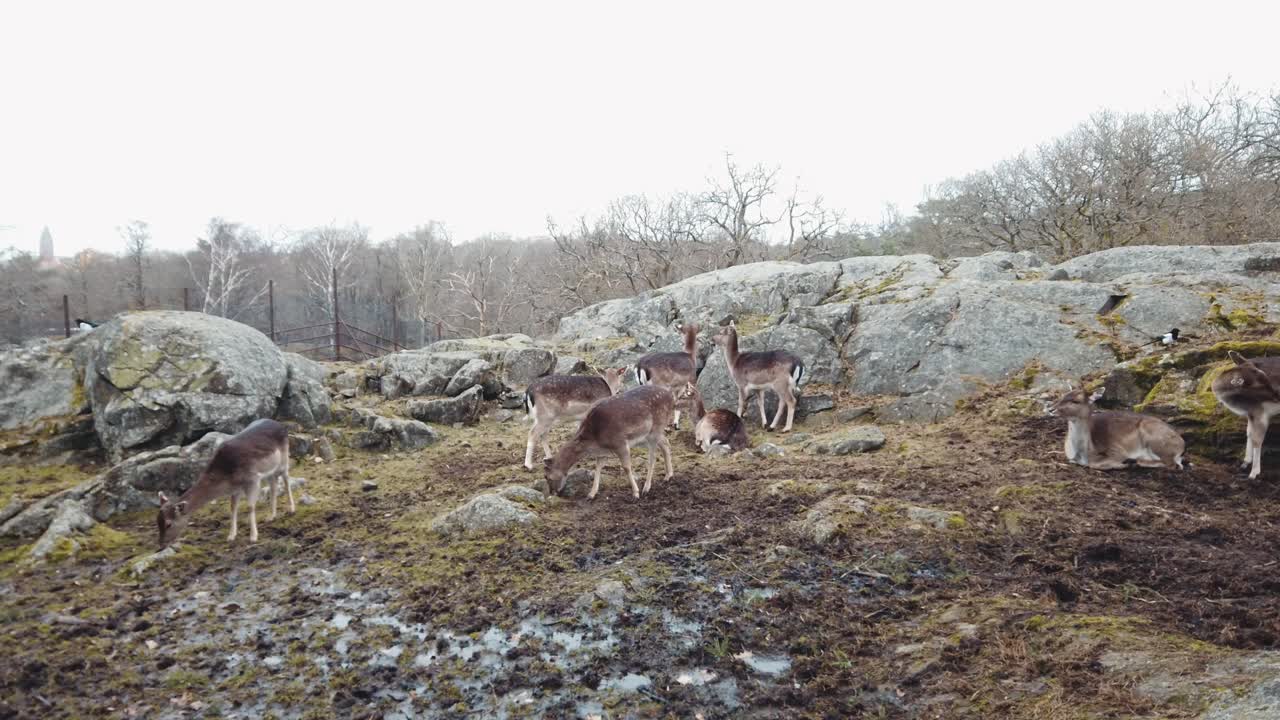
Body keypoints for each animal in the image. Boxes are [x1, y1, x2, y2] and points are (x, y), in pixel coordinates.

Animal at [156, 418, 297, 549]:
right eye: (157, 521)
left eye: (168, 524)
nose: (161, 545)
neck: (227, 476)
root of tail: (279, 424)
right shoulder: (236, 488)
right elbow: (233, 508)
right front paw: (231, 536)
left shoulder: (252, 479)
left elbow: (250, 507)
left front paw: (253, 537)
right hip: (269, 471)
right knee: (273, 485)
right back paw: (271, 516)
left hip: (284, 459)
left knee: (286, 479)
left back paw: (291, 509)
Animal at [544, 384, 674, 501]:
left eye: (547, 477)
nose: (553, 492)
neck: (595, 440)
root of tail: (671, 396)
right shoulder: (603, 452)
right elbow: (597, 468)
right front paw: (591, 494)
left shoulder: (620, 443)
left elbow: (626, 467)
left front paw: (635, 493)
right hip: (646, 436)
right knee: (666, 442)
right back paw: (668, 475)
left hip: (655, 429)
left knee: (653, 457)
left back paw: (646, 488)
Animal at [1048, 387, 1185, 470]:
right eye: (1062, 396)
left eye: (1076, 401)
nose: (1050, 409)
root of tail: (1182, 444)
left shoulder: (1117, 451)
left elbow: (1096, 464)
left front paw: (1124, 463)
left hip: (1155, 440)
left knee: (1173, 465)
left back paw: (1136, 461)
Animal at [1212, 350, 1280, 479]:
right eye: (1260, 384)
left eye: (1265, 376)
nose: (1277, 396)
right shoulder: (1251, 413)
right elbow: (1249, 433)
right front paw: (1244, 463)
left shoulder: (1260, 411)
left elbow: (1257, 439)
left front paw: (1253, 473)